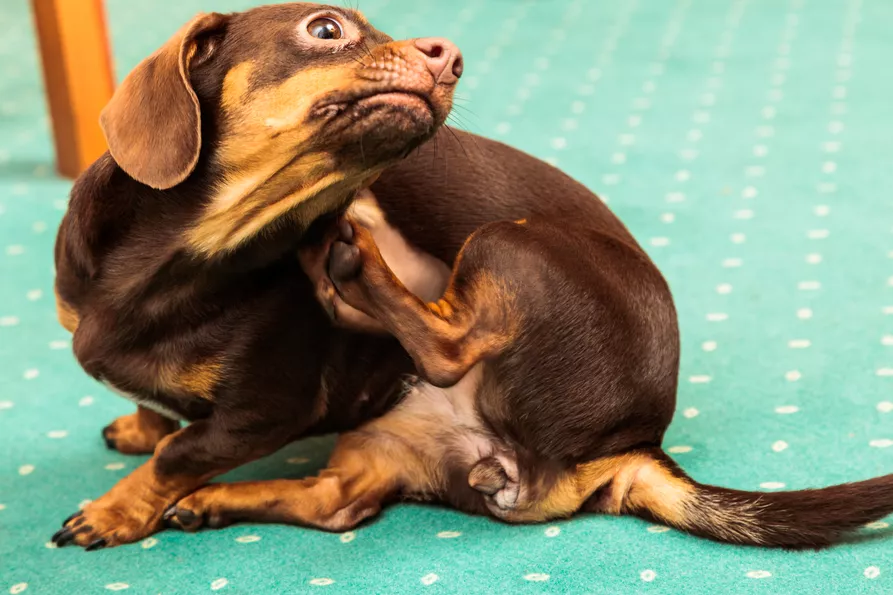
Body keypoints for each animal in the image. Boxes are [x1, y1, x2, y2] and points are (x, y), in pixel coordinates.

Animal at [54, 2, 892, 552]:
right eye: (325, 29)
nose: (449, 54)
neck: (183, 261)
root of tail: (631, 447)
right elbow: (159, 417)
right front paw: (140, 426)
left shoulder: (262, 412)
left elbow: (180, 454)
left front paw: (117, 510)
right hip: (380, 439)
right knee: (333, 502)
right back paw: (217, 498)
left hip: (510, 241)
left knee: (447, 342)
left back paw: (351, 259)